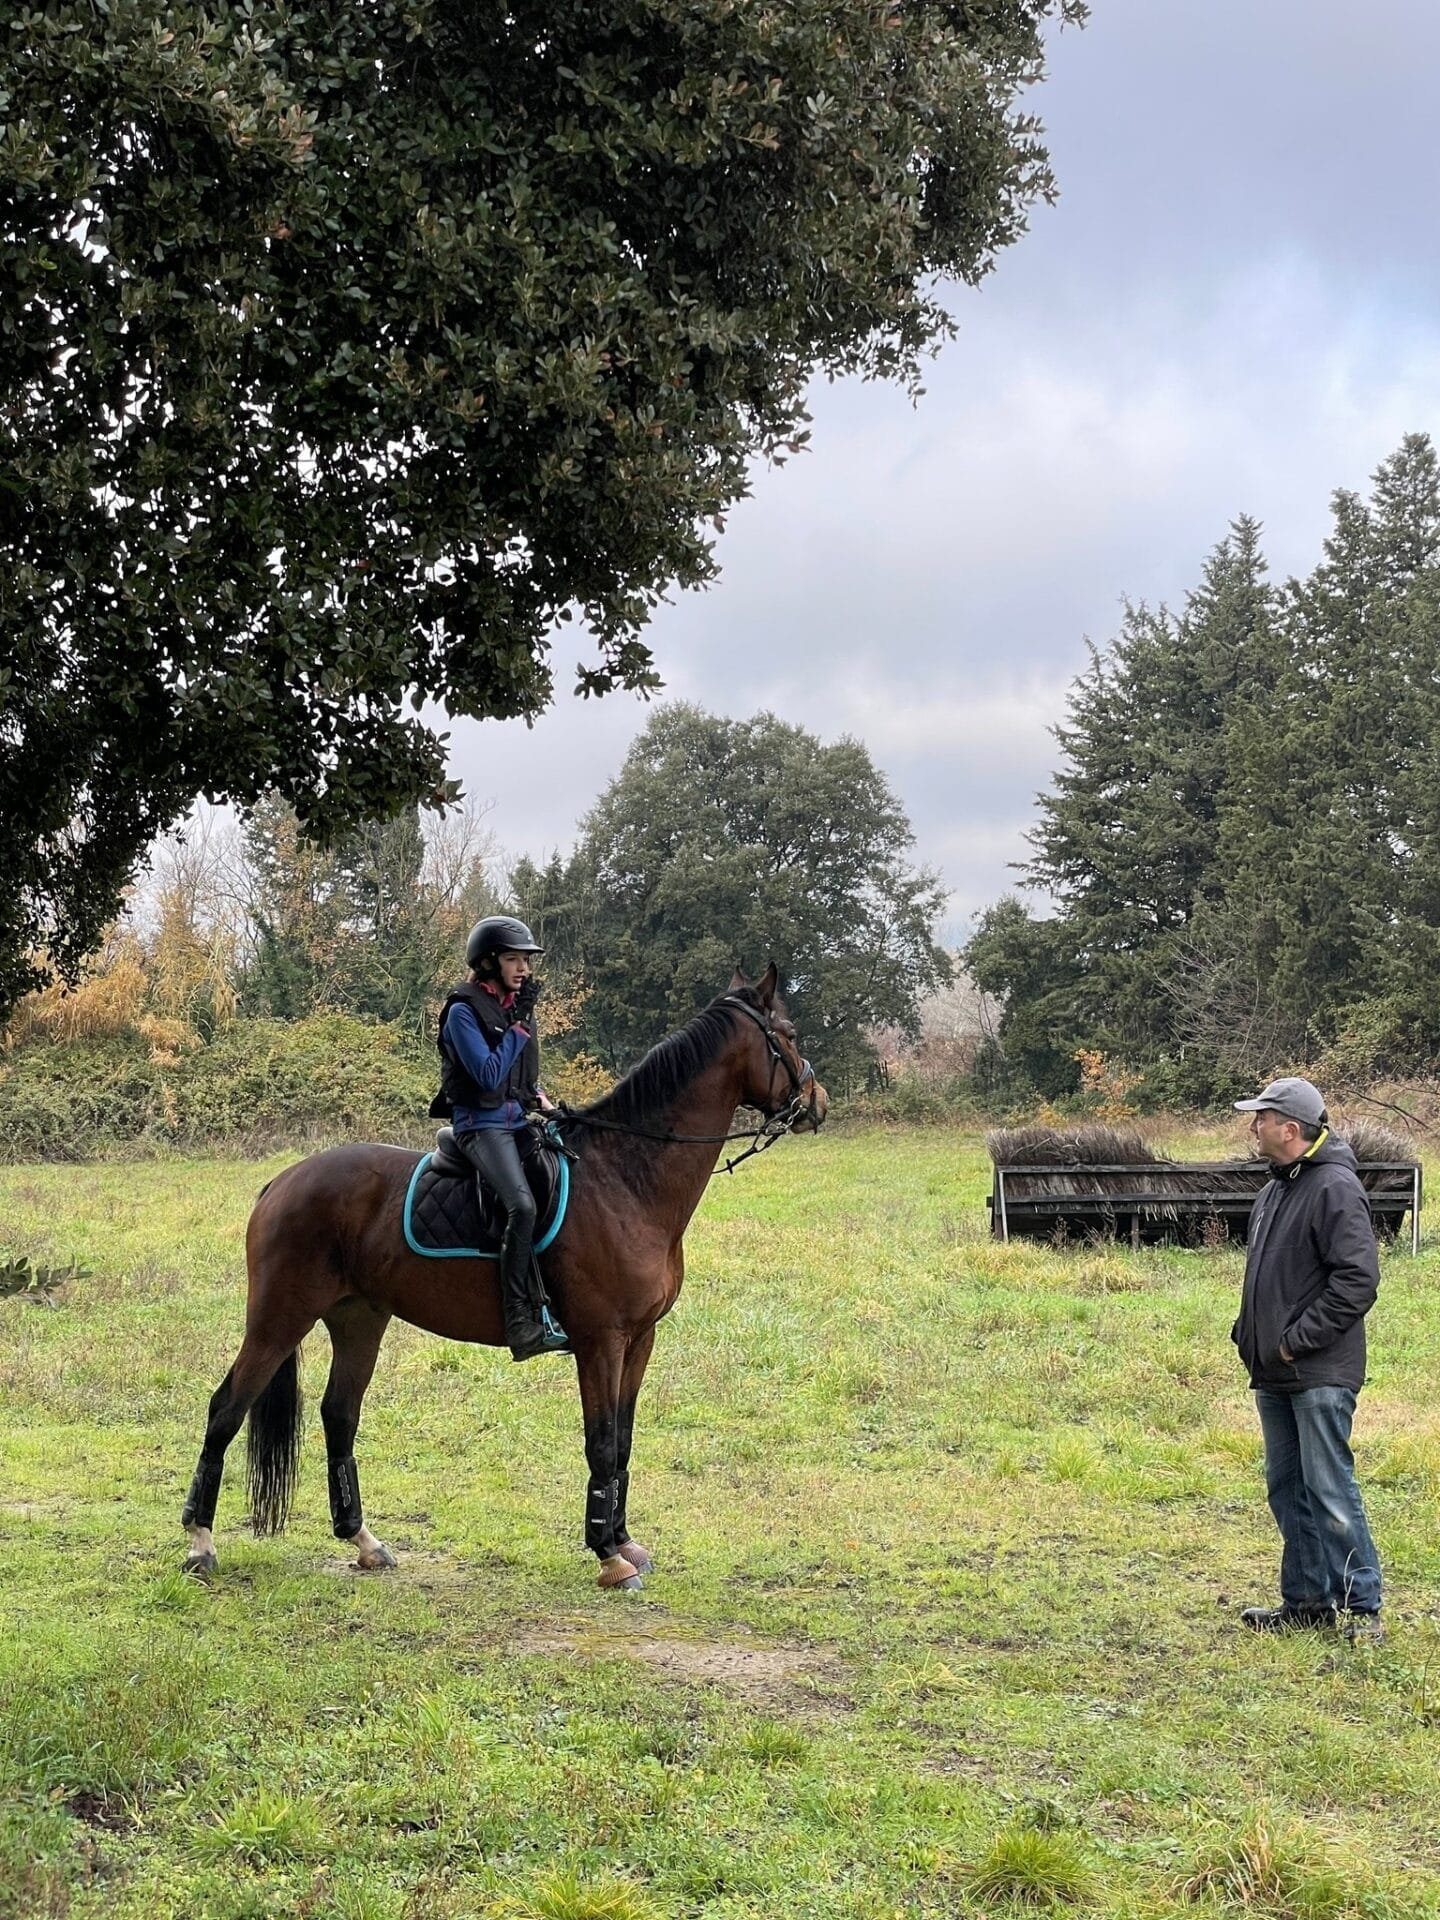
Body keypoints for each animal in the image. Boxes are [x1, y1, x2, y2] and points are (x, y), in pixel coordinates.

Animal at [179, 965, 827, 1591]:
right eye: (790, 1036)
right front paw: (607, 1556)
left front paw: (623, 1541)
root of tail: (282, 1182)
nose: (816, 1101)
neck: (625, 1179)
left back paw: (363, 1542)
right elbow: (601, 1440)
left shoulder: (640, 1340)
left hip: (358, 1319)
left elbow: (623, 1440)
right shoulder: (600, 1342)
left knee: (339, 1415)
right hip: (279, 1319)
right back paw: (200, 1545)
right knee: (226, 1409)